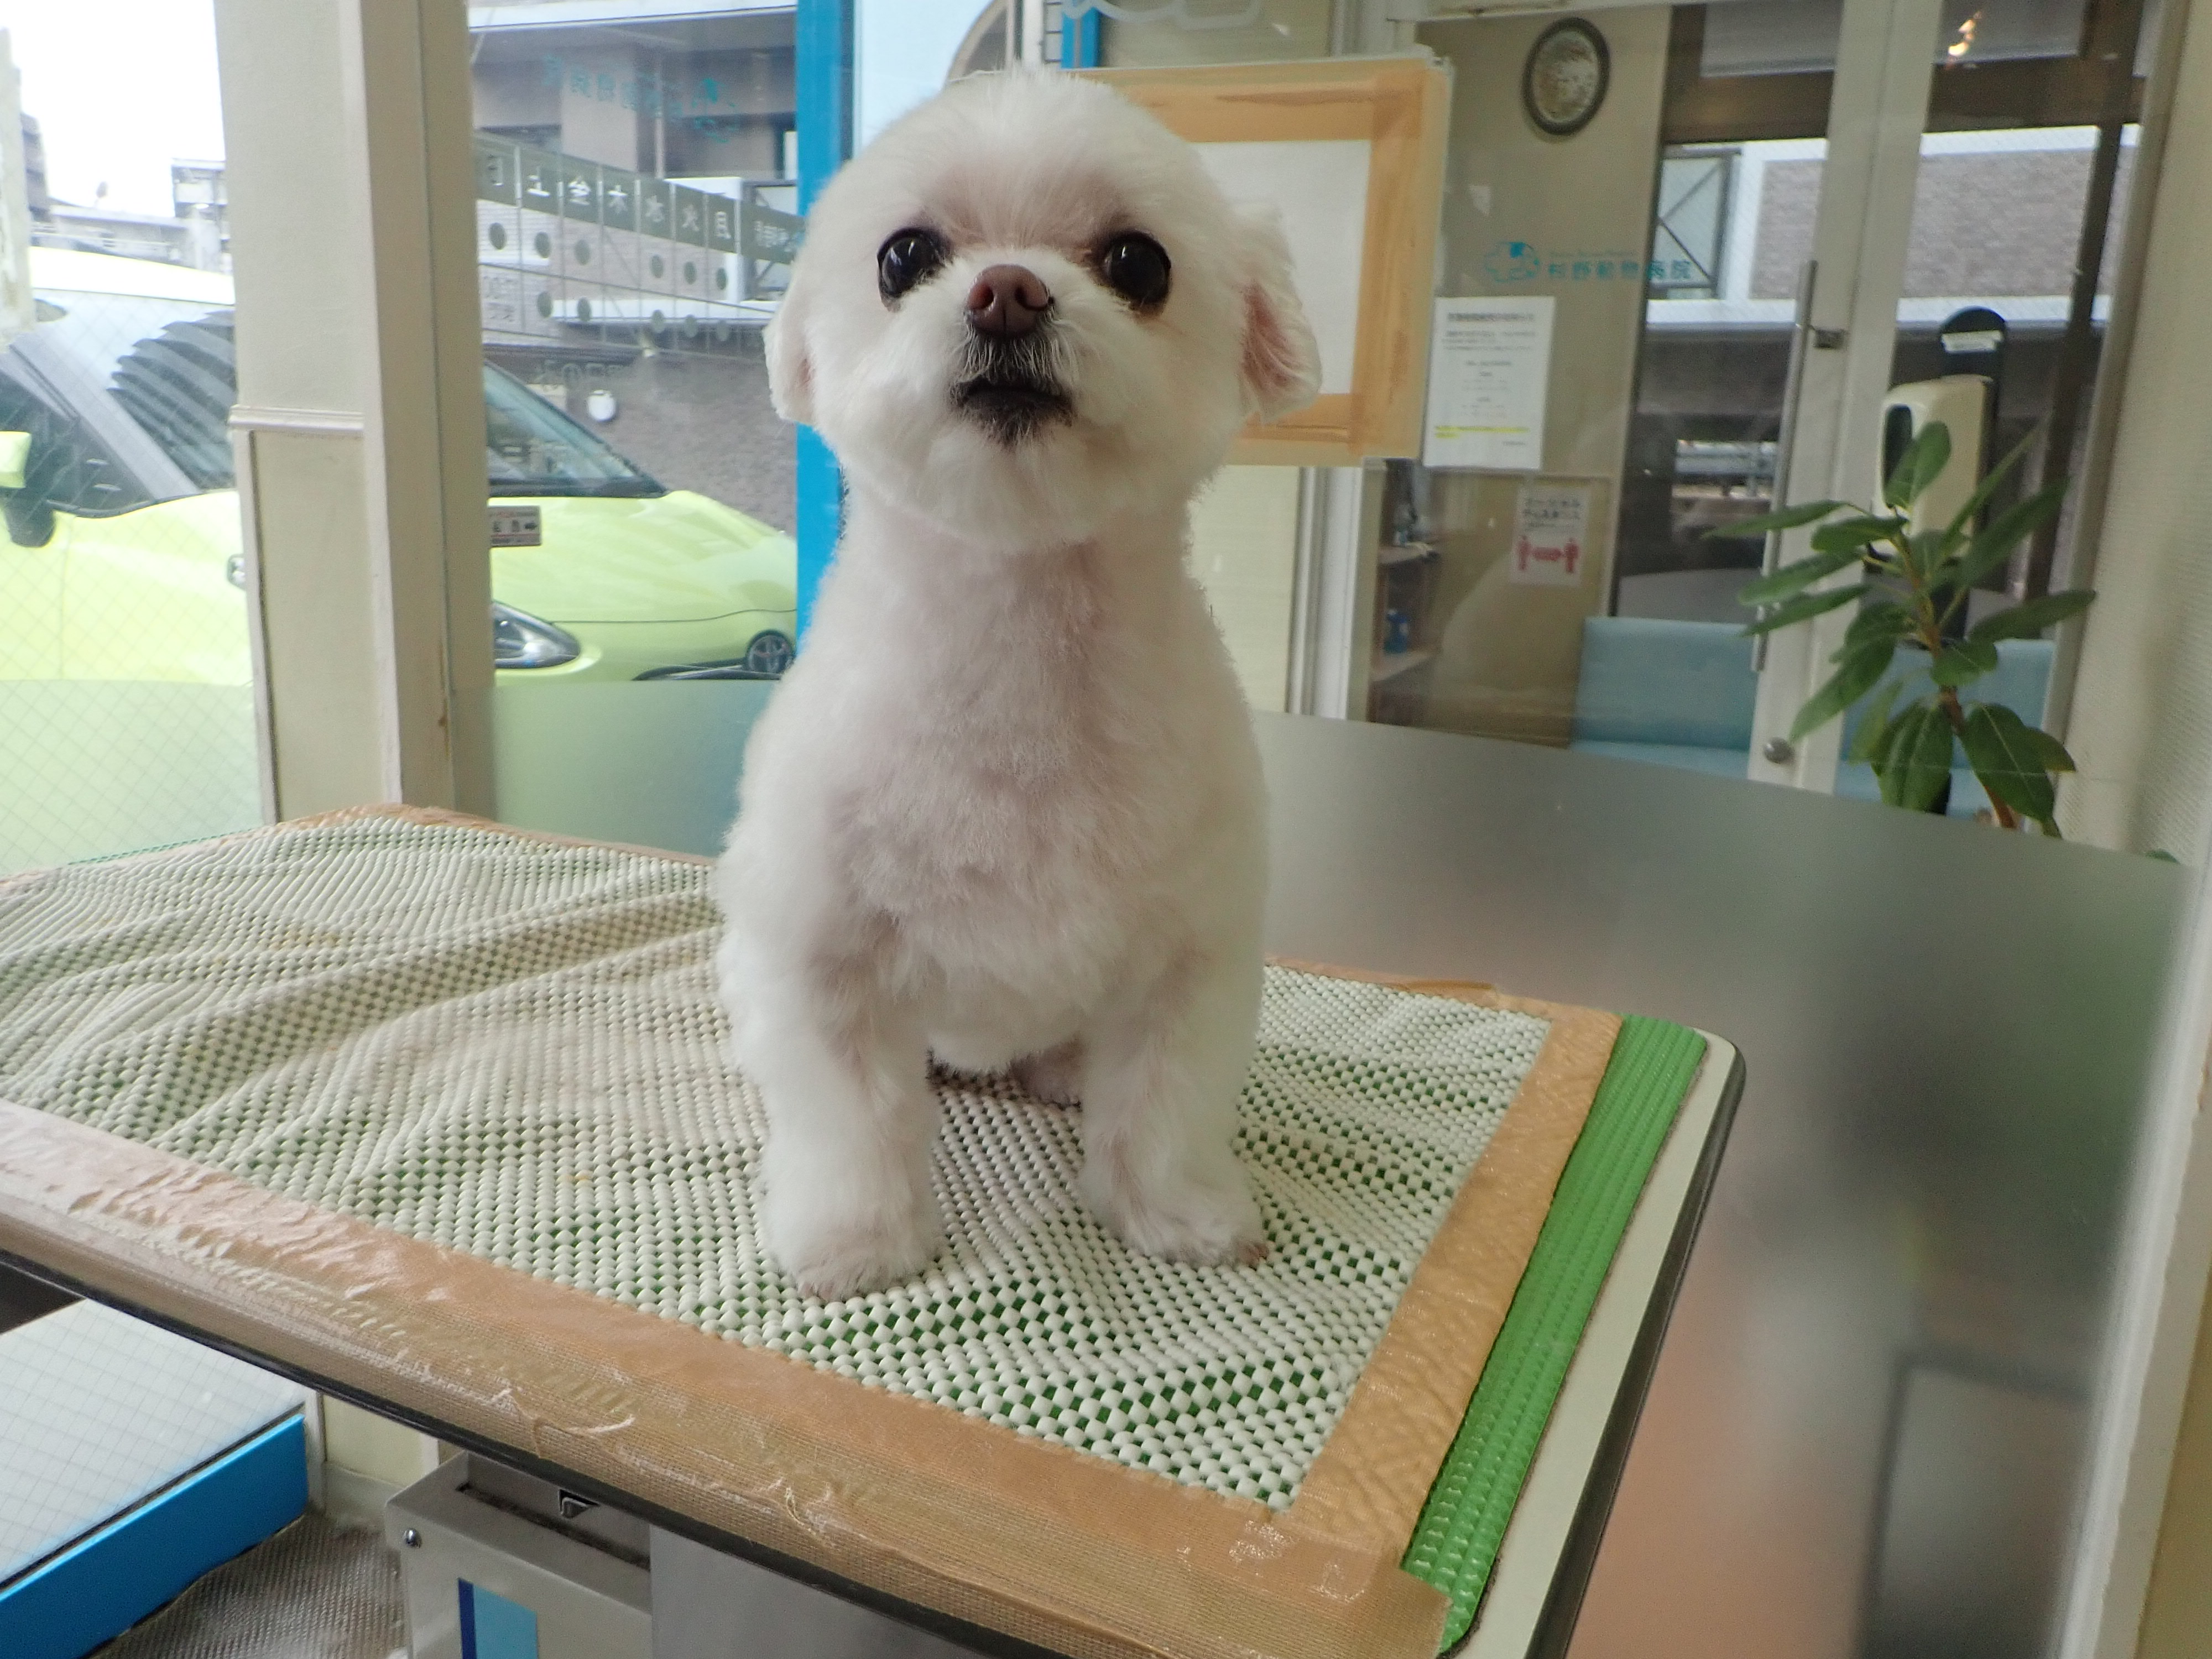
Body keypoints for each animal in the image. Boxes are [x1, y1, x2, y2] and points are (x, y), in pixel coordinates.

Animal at [714, 69, 1321, 1300]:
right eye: (905, 255)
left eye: (1138, 262)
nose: (1006, 292)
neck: (1021, 648)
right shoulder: (825, 954)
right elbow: (849, 1116)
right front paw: (855, 1239)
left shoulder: (1192, 955)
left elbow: (1168, 1103)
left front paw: (1177, 1214)